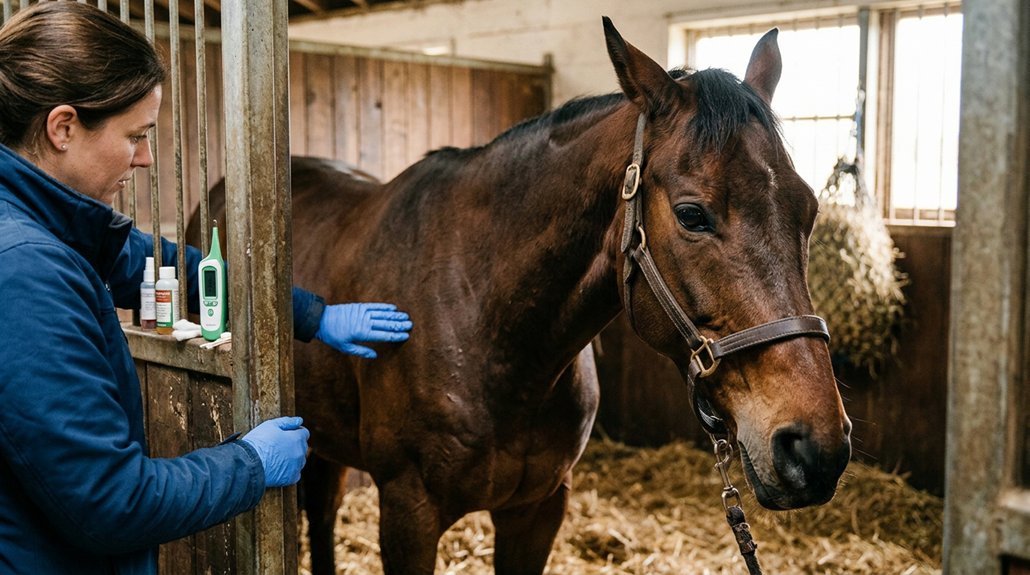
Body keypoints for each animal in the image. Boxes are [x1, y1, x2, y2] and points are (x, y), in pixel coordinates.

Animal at [189, 17, 851, 575]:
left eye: (810, 210)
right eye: (692, 214)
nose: (815, 448)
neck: (492, 328)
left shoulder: (538, 510)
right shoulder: (408, 512)